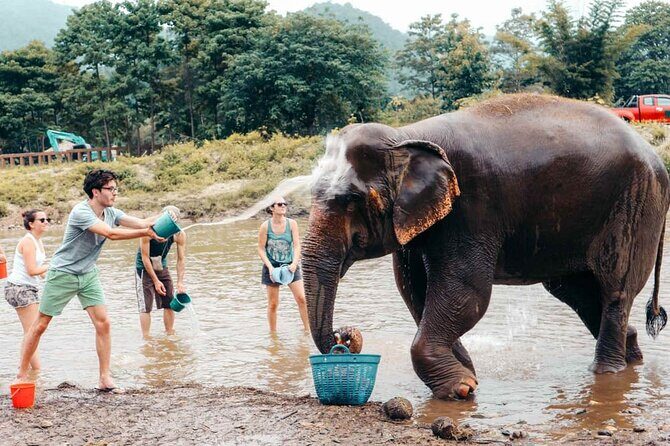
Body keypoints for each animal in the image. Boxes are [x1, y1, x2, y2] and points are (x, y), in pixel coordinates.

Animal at [302, 94, 669, 400]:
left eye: (352, 200)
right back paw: (631, 355)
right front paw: (466, 376)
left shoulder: (472, 208)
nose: (344, 337)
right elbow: (415, 290)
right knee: (577, 293)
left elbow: (467, 292)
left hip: (635, 208)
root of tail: (658, 160)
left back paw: (607, 373)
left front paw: (460, 389)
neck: (406, 135)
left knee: (615, 289)